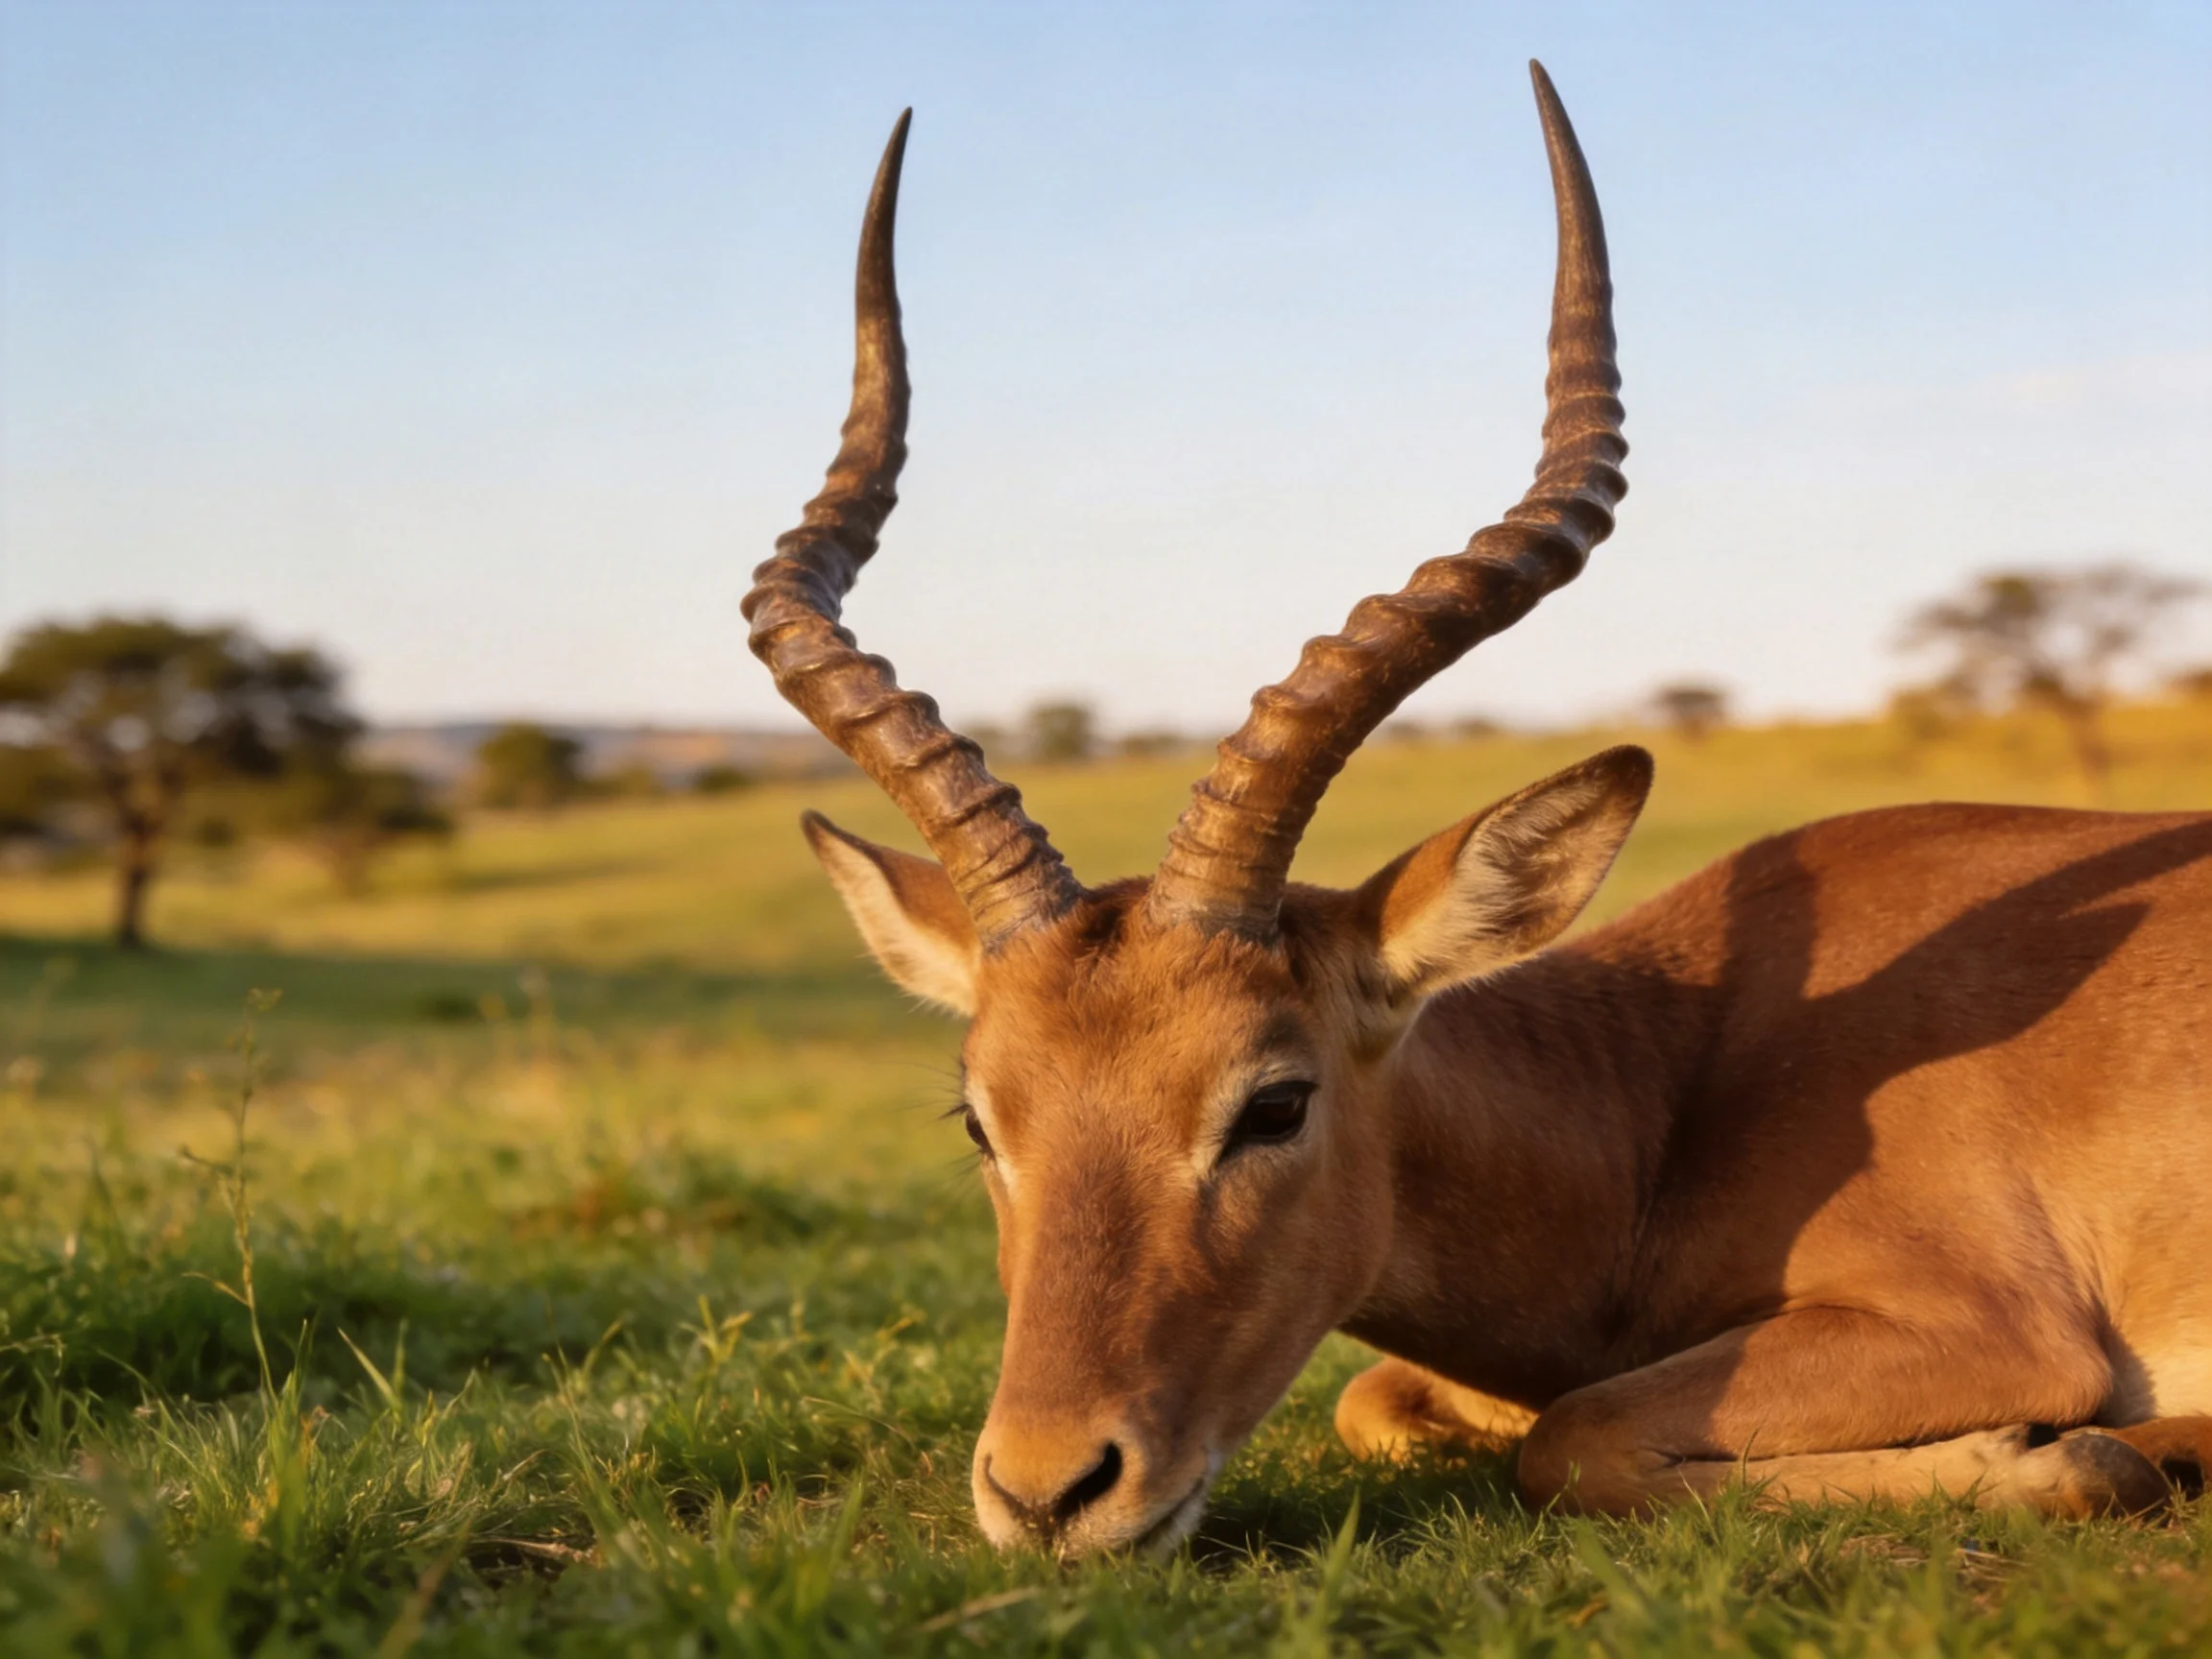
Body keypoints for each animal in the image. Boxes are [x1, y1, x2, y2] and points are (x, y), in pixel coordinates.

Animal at [744, 65, 2212, 1556]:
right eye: (979, 1119)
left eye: (1274, 1102)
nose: (1048, 1491)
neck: (1665, 1102)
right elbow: (1385, 1402)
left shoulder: (1991, 1327)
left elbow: (1575, 1438)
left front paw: (2073, 1455)